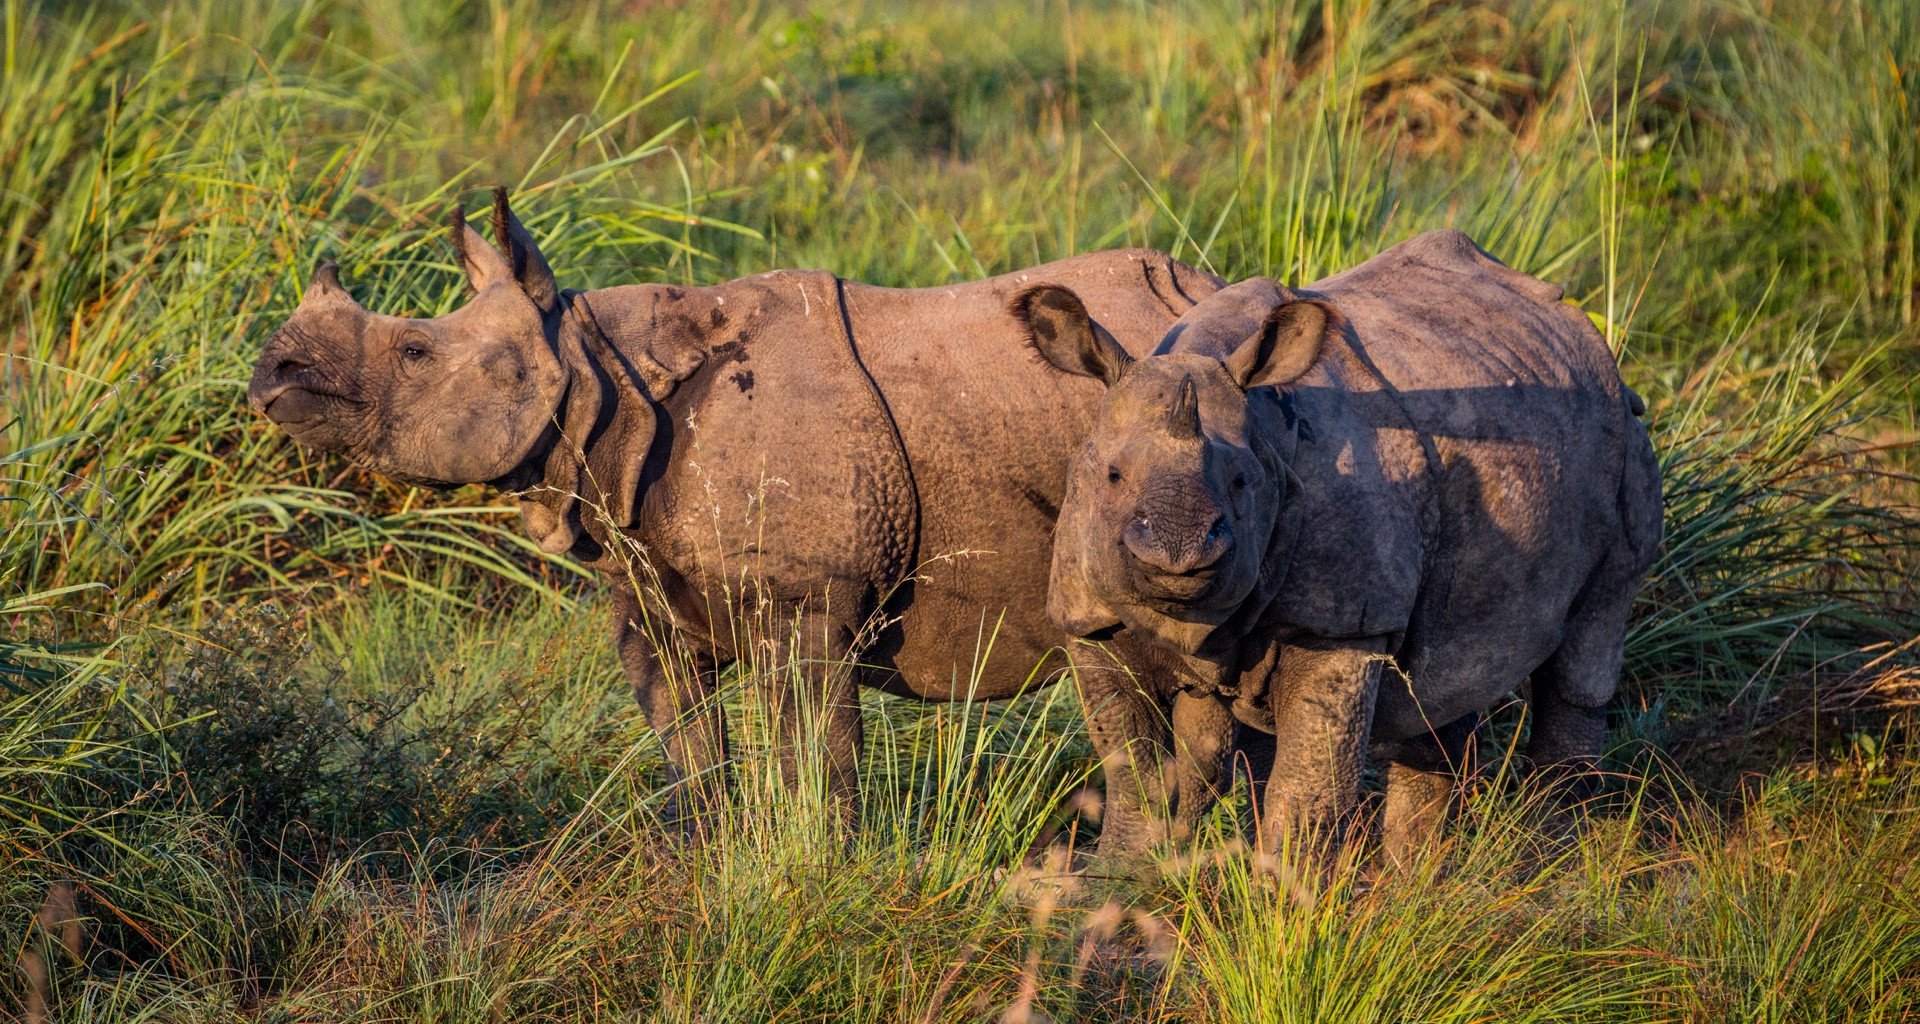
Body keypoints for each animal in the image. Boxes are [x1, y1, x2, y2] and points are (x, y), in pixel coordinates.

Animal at [247, 189, 1226, 835]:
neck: (597, 371)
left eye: (413, 352)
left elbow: (818, 760)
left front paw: (821, 871)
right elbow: (689, 749)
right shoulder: (646, 594)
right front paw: (710, 860)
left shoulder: (807, 599)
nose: (269, 377)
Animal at [1011, 229, 1662, 857]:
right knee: (1439, 686)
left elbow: (1306, 792)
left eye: (1243, 483)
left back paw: (1561, 852)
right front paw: (1121, 877)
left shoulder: (1343, 622)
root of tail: (1587, 336)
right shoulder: (1092, 614)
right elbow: (1135, 777)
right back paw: (1415, 877)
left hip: (1623, 433)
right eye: (1112, 476)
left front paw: (1285, 893)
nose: (1178, 551)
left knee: (1585, 648)